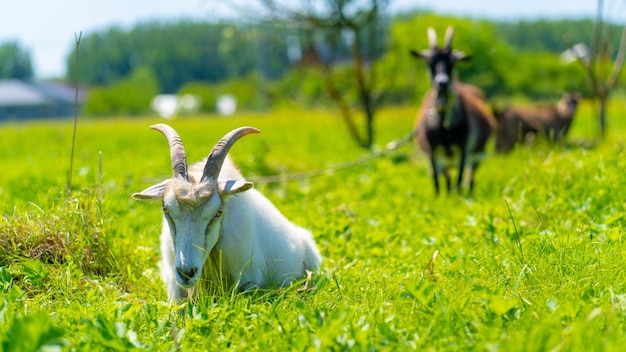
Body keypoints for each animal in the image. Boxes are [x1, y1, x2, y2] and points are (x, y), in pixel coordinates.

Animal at [412, 27, 494, 195]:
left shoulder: (463, 148)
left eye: (452, 63)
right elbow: (438, 180)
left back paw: (468, 193)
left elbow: (460, 177)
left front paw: (458, 197)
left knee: (470, 176)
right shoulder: (432, 150)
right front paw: (440, 197)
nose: (442, 83)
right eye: (430, 62)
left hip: (478, 153)